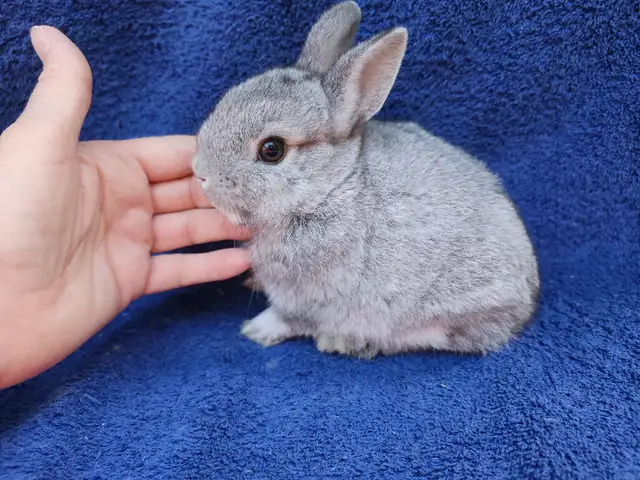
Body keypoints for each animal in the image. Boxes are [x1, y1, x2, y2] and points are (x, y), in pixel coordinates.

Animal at [192, 1, 540, 358]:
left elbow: (288, 319)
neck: (331, 187)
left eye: (271, 150)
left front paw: (256, 330)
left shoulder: (308, 297)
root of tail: (527, 304)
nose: (200, 172)